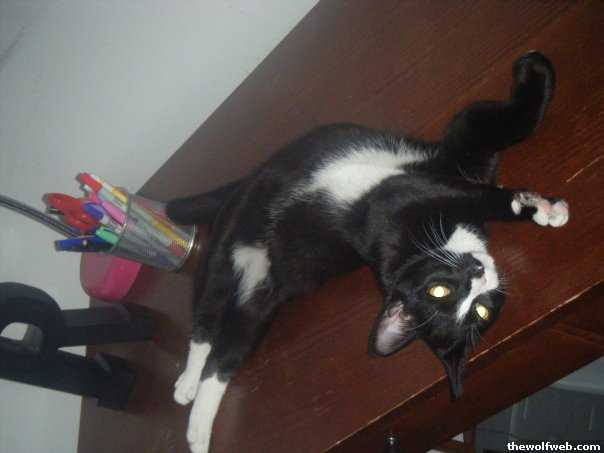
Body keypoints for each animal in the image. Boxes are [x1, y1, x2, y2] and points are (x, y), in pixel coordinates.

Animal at [166, 51, 568, 453]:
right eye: (439, 292)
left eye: (481, 311)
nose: (479, 275)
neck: (420, 246)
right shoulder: (406, 191)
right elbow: (490, 150)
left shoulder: (459, 160)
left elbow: (502, 127)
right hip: (226, 243)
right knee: (208, 318)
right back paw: (192, 406)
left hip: (264, 297)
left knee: (225, 348)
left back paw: (193, 405)